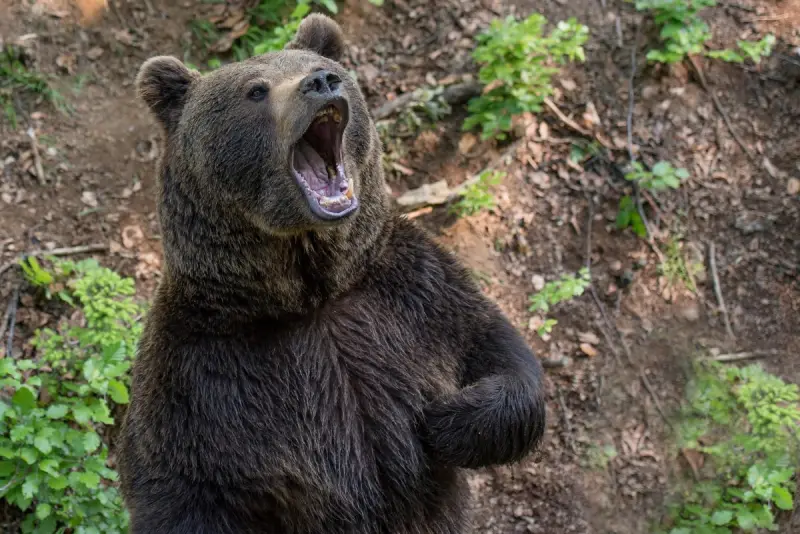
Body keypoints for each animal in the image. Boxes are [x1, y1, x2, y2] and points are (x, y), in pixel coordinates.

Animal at [117, 13, 546, 534]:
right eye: (255, 90)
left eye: (322, 67)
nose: (321, 82)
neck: (313, 292)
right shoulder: (200, 378)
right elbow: (178, 491)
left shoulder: (413, 294)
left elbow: (499, 352)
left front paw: (446, 419)